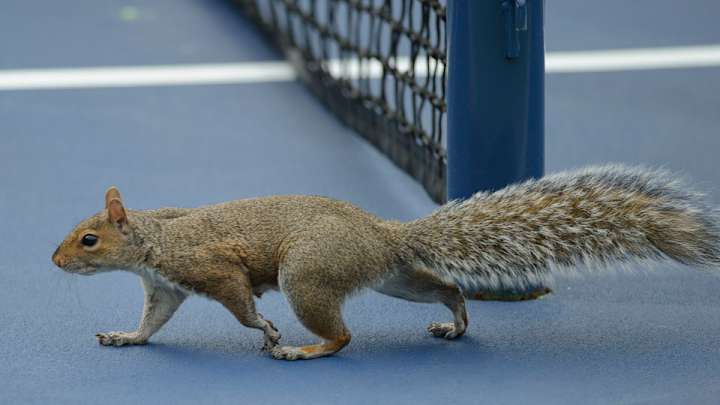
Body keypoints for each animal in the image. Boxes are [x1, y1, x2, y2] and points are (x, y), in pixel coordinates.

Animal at [52, 165, 720, 360]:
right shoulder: (164, 288)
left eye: (88, 239)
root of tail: (384, 234)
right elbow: (153, 322)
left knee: (342, 337)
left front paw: (267, 331)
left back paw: (303, 350)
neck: (155, 239)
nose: (54, 259)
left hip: (308, 277)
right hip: (396, 279)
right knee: (447, 286)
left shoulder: (213, 269)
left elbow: (242, 305)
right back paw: (456, 321)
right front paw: (126, 337)